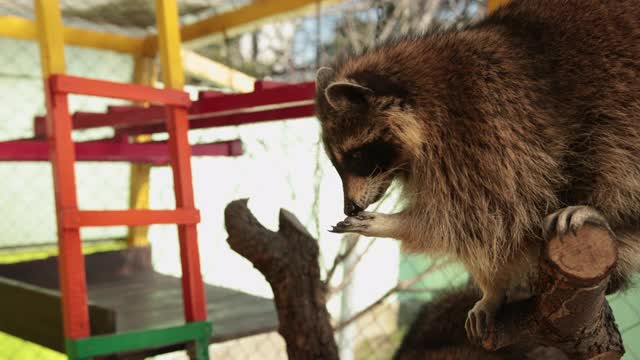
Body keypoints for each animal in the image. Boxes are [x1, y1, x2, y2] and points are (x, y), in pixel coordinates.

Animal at [318, 0, 640, 344]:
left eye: (356, 157)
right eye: (338, 161)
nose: (350, 207)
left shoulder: (488, 128)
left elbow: (483, 218)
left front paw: (393, 224)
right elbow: (491, 223)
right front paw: (493, 290)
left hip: (618, 98)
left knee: (615, 152)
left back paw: (601, 212)